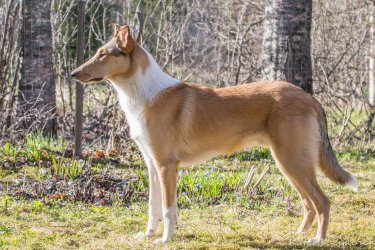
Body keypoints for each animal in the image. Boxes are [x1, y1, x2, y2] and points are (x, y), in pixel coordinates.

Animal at [72, 23, 360, 244]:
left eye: (102, 54)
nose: (73, 73)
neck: (144, 94)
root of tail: (311, 99)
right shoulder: (152, 165)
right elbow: (153, 207)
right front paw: (147, 235)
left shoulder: (166, 166)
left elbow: (168, 208)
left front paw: (164, 240)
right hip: (289, 163)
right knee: (308, 203)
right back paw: (300, 233)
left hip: (293, 161)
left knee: (323, 201)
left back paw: (318, 239)